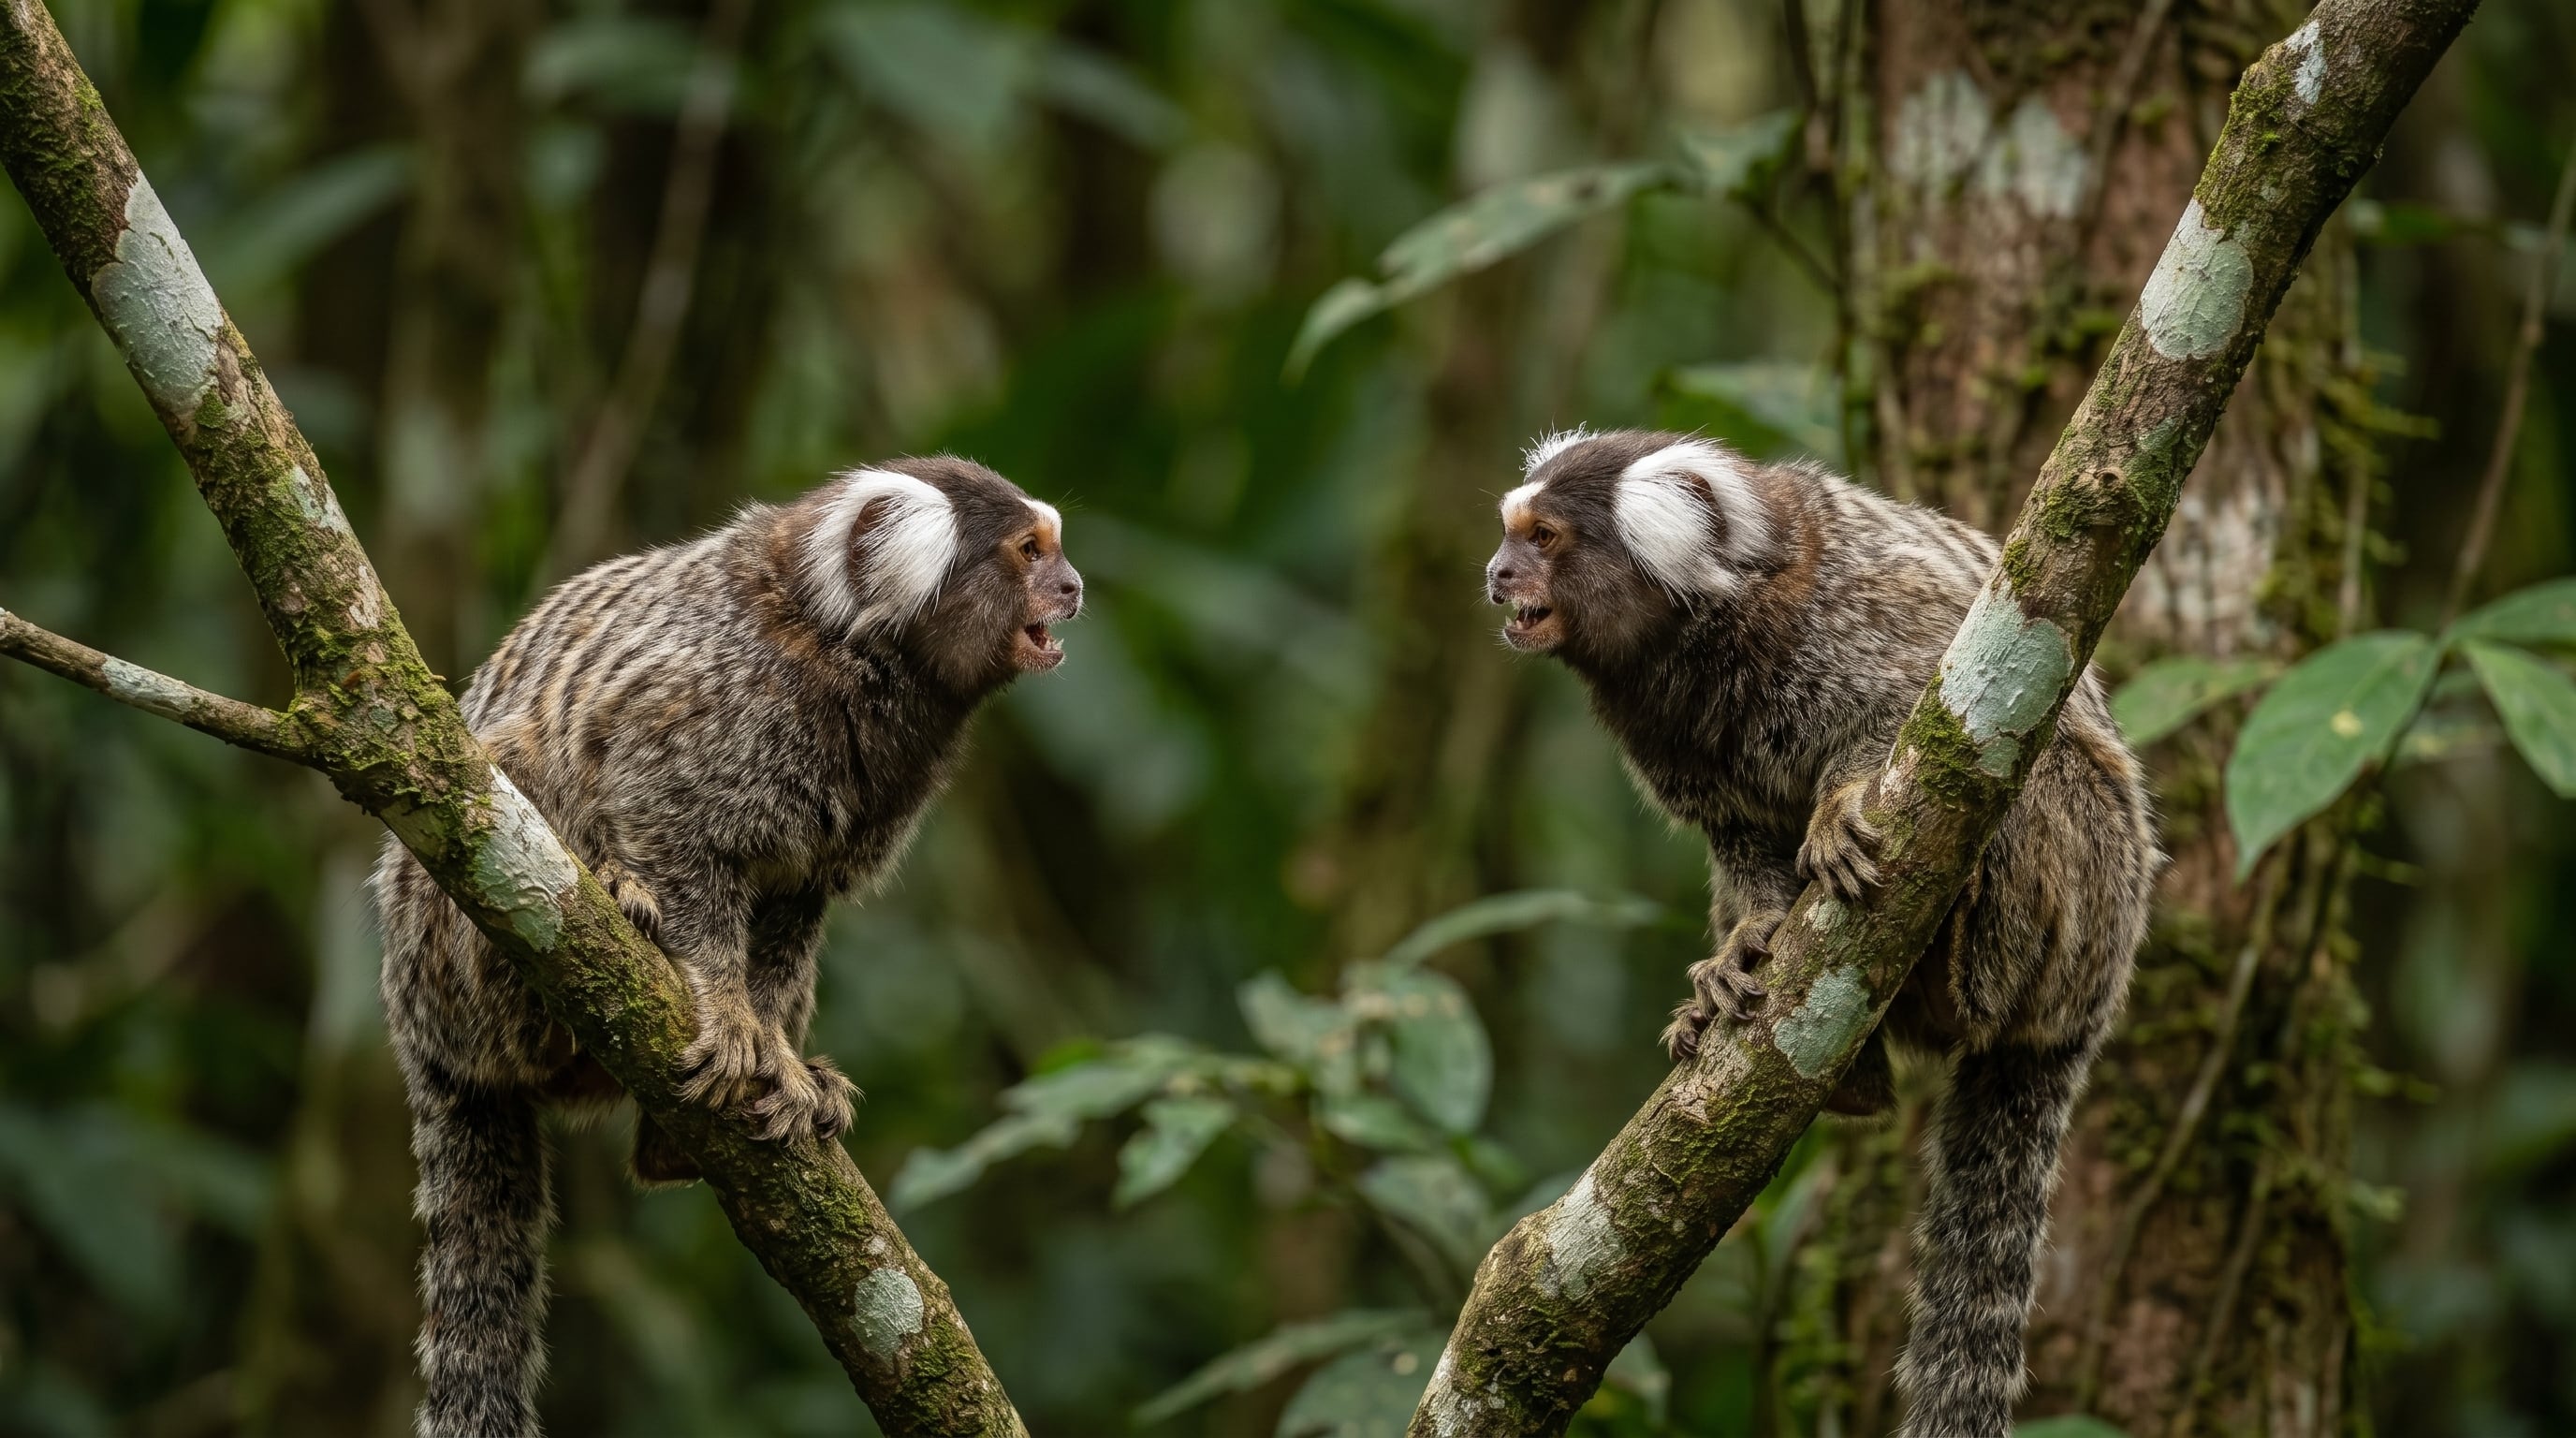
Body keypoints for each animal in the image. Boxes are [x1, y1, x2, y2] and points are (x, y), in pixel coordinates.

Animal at [371, 455, 1081, 1438]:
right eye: (1028, 552)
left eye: (1057, 549)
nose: (1075, 587)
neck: (848, 646)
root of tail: (420, 1036)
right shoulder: (716, 700)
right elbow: (665, 815)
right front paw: (725, 1008)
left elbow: (791, 912)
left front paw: (779, 1055)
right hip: (448, 940)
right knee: (507, 774)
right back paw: (609, 909)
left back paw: (673, 1146)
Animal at [1482, 428, 2157, 1438]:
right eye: (1509, 534)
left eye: (1545, 539)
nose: (1495, 575)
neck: (1706, 625)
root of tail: (2091, 1005)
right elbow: (1739, 844)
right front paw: (1743, 948)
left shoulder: (1865, 618)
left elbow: (1916, 715)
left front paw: (1841, 808)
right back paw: (1844, 1073)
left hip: (2090, 888)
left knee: (2023, 777)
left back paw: (1964, 955)